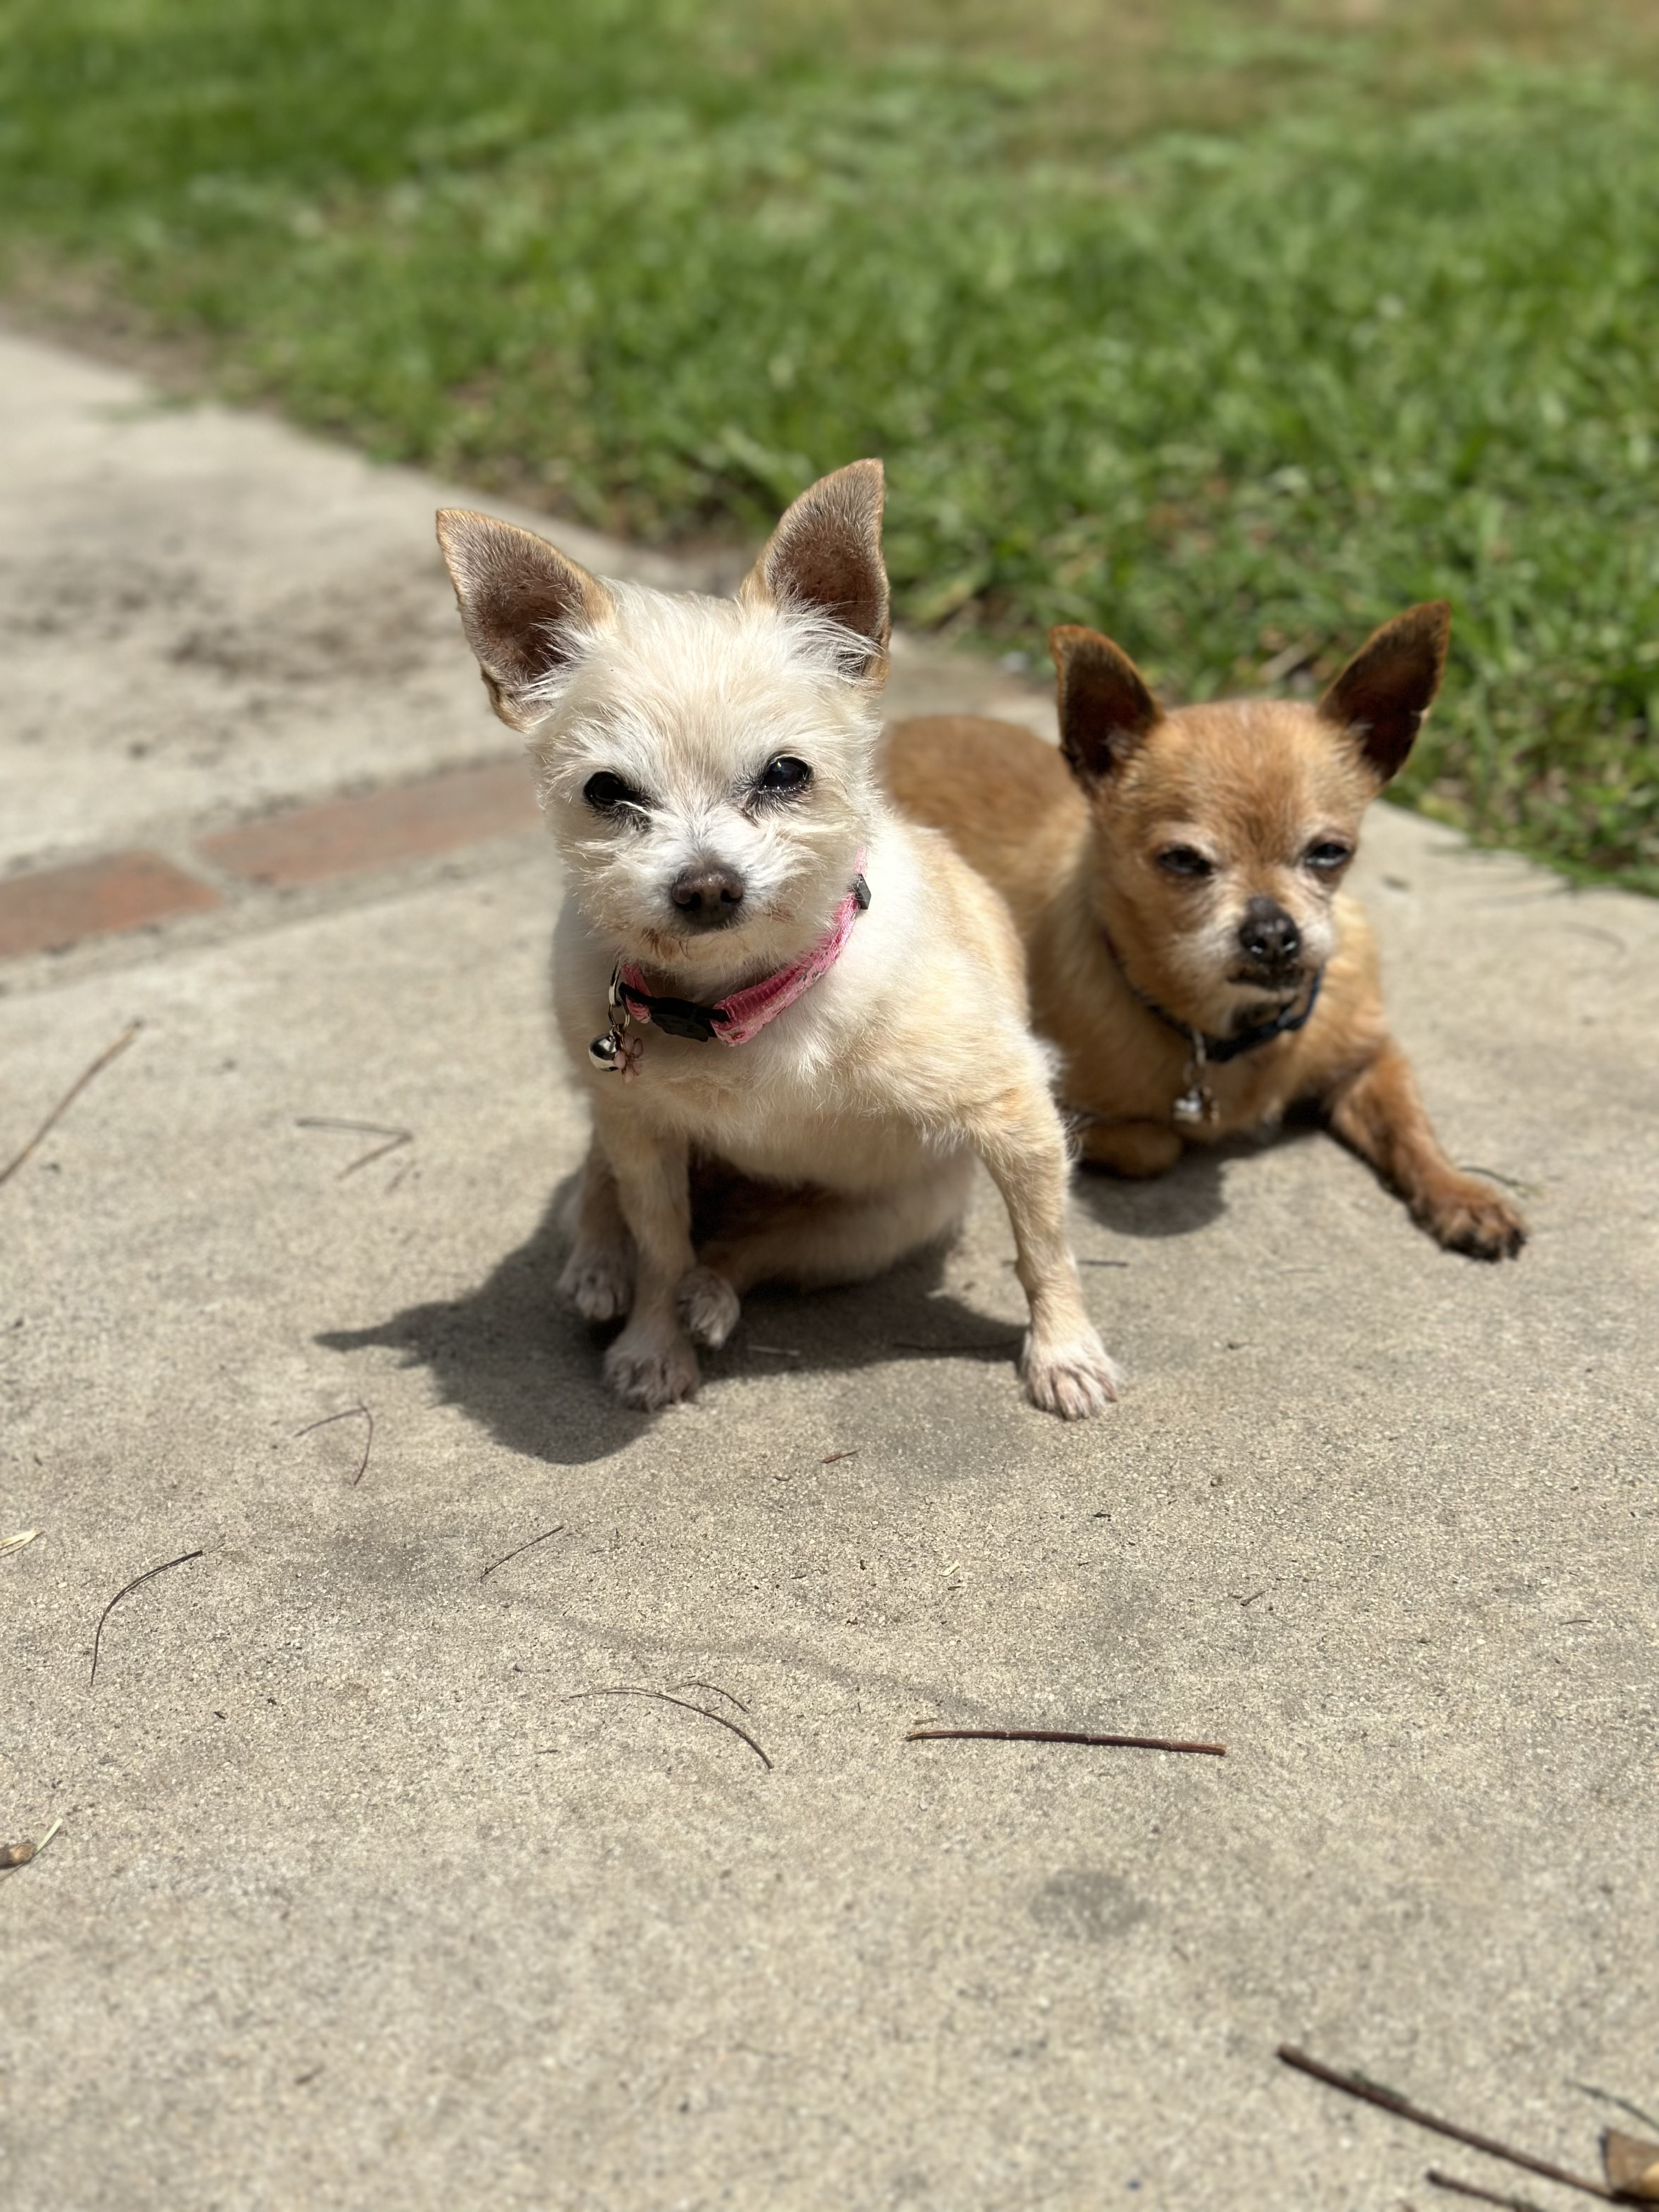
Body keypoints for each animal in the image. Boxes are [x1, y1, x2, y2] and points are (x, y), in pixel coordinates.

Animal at [436, 462, 1124, 1415]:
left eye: (785, 774)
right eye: (607, 792)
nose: (705, 884)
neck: (744, 1005)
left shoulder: (1014, 1113)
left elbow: (1044, 1246)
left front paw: (1062, 1350)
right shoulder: (647, 1142)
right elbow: (659, 1246)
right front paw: (652, 1342)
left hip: (874, 1225)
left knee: (746, 1251)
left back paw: (712, 1292)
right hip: (619, 1122)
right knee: (610, 1195)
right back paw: (601, 1267)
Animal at [889, 606, 1531, 1265]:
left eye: (1330, 853)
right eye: (1183, 862)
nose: (1273, 933)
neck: (1231, 1031)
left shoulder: (1369, 1058)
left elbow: (1410, 1125)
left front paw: (1461, 1194)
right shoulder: (1048, 1101)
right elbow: (1154, 1145)